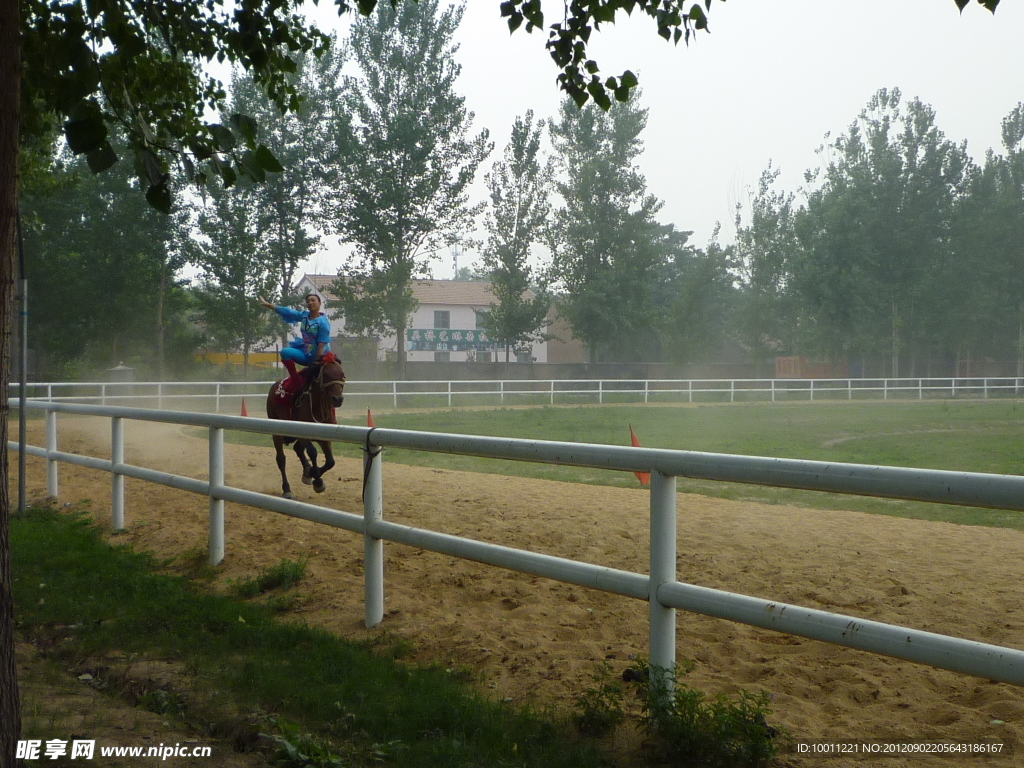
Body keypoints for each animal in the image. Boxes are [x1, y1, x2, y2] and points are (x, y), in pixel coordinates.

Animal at [266, 354, 346, 499]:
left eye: (343, 375)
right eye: (326, 374)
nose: (338, 399)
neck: (317, 408)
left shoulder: (325, 437)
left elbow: (330, 461)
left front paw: (313, 473)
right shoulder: (304, 434)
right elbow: (313, 452)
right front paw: (317, 480)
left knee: (297, 449)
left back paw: (307, 471)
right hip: (277, 431)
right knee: (281, 459)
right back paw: (287, 489)